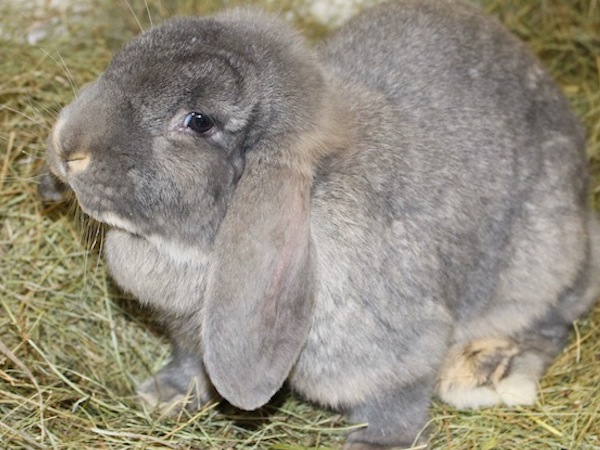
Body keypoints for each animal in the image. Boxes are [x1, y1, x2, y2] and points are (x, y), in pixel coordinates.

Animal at [41, 1, 600, 448]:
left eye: (198, 121)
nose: (68, 148)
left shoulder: (397, 351)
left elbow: (394, 402)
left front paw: (375, 446)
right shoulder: (187, 336)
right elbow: (188, 360)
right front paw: (165, 395)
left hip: (542, 258)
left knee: (553, 315)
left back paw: (489, 371)